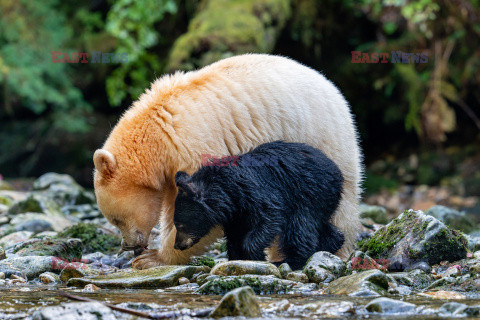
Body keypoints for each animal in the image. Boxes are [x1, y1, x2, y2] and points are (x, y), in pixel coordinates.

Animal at [172, 141, 344, 270]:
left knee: (299, 227)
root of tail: (337, 170)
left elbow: (269, 217)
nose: (177, 245)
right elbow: (235, 234)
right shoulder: (236, 213)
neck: (226, 189)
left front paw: (257, 256)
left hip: (309, 192)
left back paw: (289, 261)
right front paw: (237, 258)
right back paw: (332, 242)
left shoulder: (256, 193)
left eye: (179, 224)